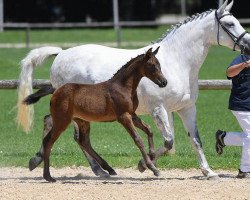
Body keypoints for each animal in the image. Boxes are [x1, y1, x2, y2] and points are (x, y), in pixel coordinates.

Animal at [36, 47, 167, 181]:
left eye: (159, 65)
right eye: (152, 66)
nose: (164, 82)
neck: (123, 87)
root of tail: (55, 93)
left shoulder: (132, 114)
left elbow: (149, 130)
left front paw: (152, 157)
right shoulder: (123, 116)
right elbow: (138, 139)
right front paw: (153, 168)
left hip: (81, 120)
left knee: (83, 141)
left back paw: (108, 169)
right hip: (62, 120)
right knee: (49, 141)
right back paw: (48, 176)